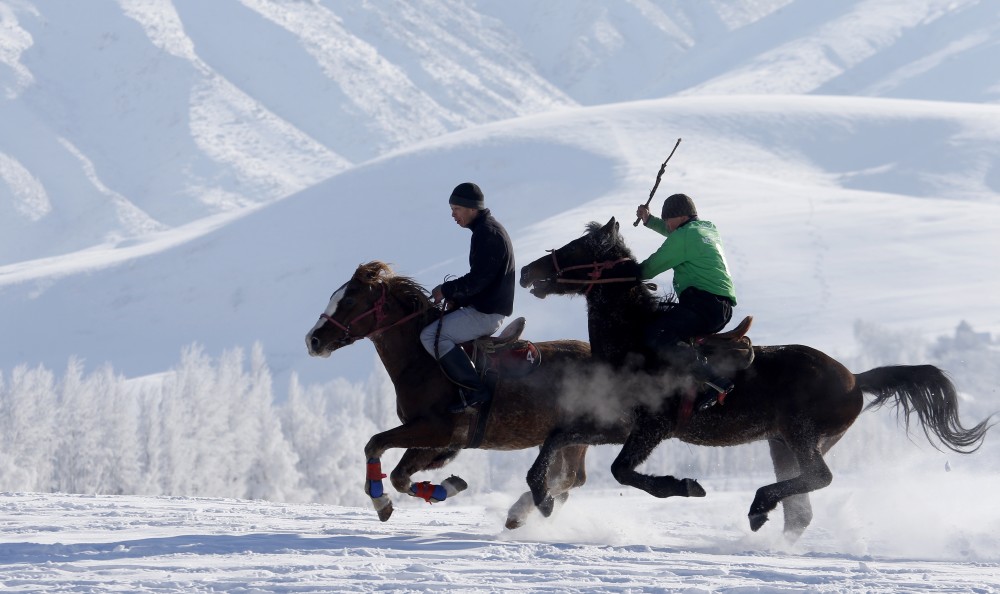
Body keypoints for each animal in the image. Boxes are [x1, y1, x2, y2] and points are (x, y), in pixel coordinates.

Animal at [302, 260, 616, 524]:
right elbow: (395, 469)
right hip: (562, 439)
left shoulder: (434, 430)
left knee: (567, 479)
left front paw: (388, 499)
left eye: (349, 300)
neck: (422, 362)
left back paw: (519, 511)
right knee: (571, 479)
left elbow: (381, 451)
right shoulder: (439, 442)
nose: (312, 340)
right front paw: (441, 488)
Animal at [516, 217, 992, 536]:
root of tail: (855, 378)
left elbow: (622, 471)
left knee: (820, 480)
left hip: (801, 436)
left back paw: (759, 505)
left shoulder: (652, 427)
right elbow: (556, 439)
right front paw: (540, 502)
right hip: (784, 442)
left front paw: (685, 486)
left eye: (579, 247)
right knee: (802, 508)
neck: (635, 341)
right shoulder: (617, 424)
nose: (526, 272)